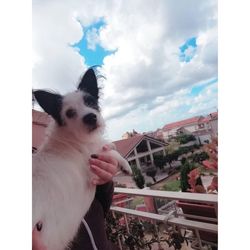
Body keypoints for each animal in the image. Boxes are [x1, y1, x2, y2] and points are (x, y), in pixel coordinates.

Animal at [32, 68, 133, 250]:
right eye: (69, 113)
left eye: (91, 102)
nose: (90, 117)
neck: (73, 138)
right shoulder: (91, 159)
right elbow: (110, 151)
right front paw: (124, 164)